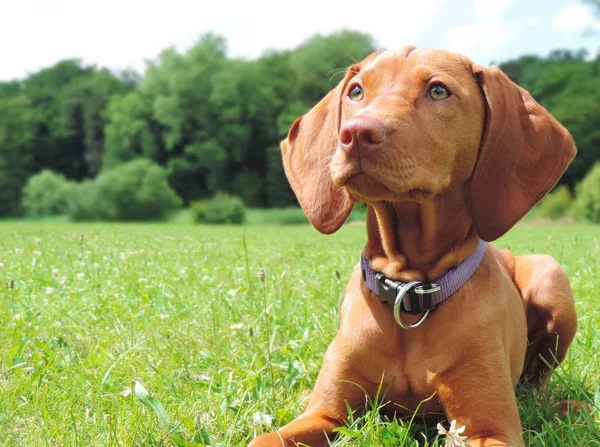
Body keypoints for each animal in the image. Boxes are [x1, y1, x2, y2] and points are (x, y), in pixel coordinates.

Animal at [248, 48, 576, 447]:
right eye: (356, 92)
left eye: (438, 91)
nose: (355, 133)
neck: (408, 290)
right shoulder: (326, 414)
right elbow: (265, 438)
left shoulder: (490, 430)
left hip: (550, 277)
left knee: (538, 384)